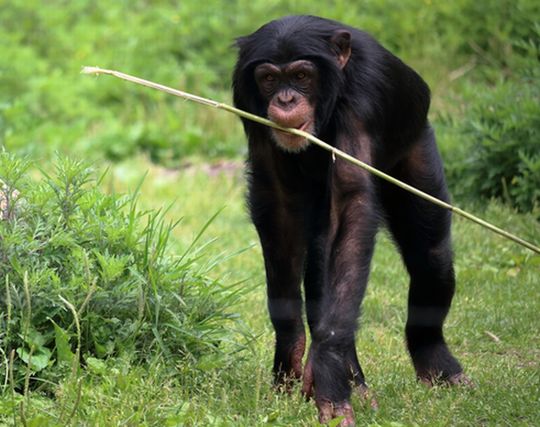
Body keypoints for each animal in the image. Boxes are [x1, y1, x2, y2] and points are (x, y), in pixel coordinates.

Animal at [232, 15, 468, 426]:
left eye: (301, 76)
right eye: (269, 79)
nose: (286, 99)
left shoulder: (364, 99)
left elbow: (352, 201)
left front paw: (327, 369)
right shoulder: (246, 100)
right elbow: (277, 203)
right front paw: (291, 352)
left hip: (416, 148)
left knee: (430, 258)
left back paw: (436, 365)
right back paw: (355, 381)